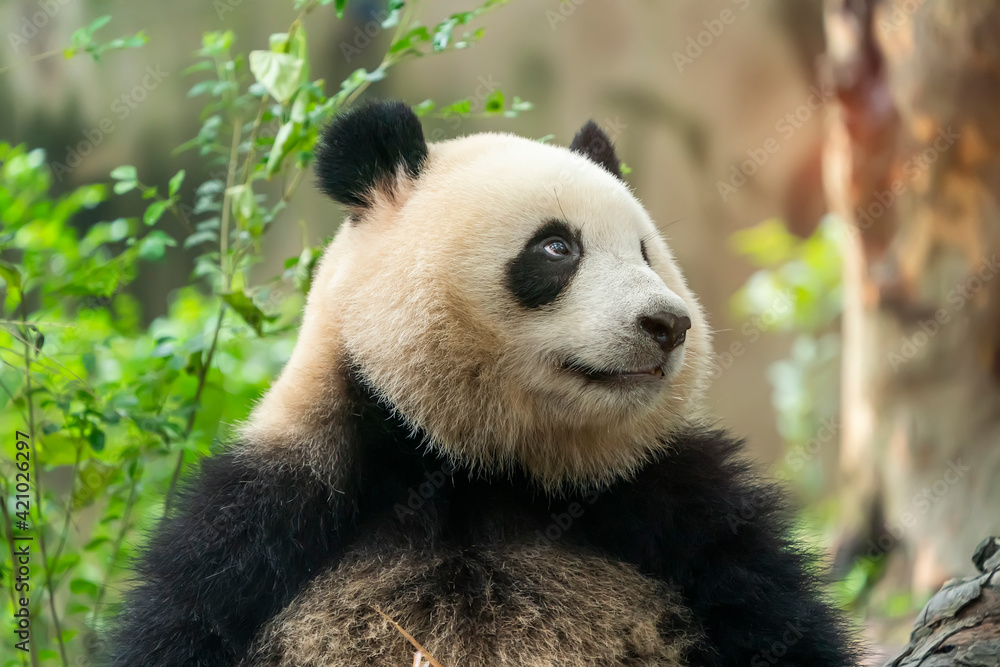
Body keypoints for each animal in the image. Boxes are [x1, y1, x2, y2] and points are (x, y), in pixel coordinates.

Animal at [110, 100, 860, 666]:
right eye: (558, 246)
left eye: (647, 252)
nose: (668, 324)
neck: (480, 467)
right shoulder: (281, 509)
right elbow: (184, 620)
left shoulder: (671, 503)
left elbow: (778, 620)